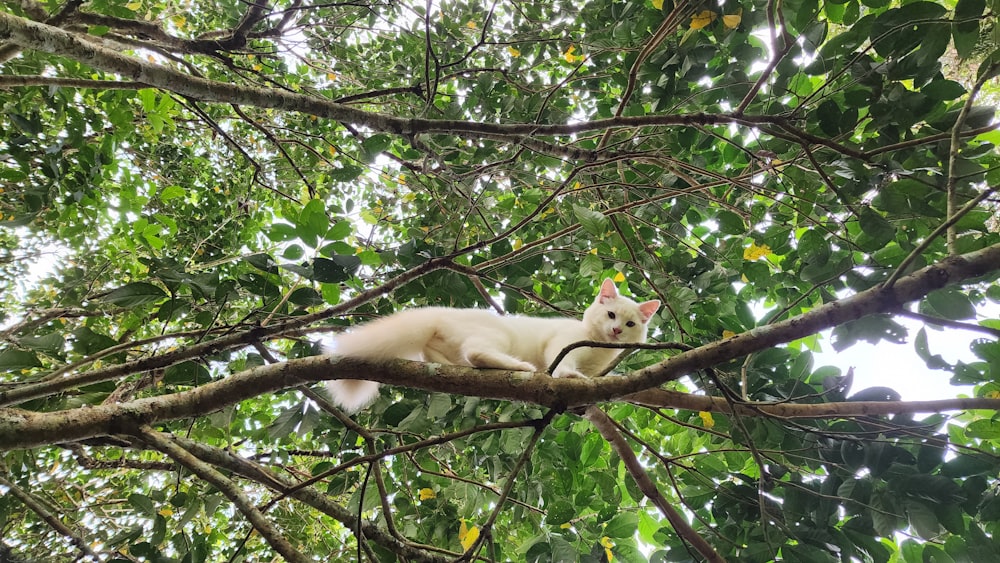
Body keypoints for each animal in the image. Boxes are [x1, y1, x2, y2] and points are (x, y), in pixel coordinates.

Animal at [324, 280, 660, 412]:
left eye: (630, 324)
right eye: (611, 315)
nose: (616, 330)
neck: (600, 349)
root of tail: (441, 313)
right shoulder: (564, 344)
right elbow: (563, 365)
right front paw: (569, 376)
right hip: (498, 336)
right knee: (477, 352)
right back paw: (520, 366)